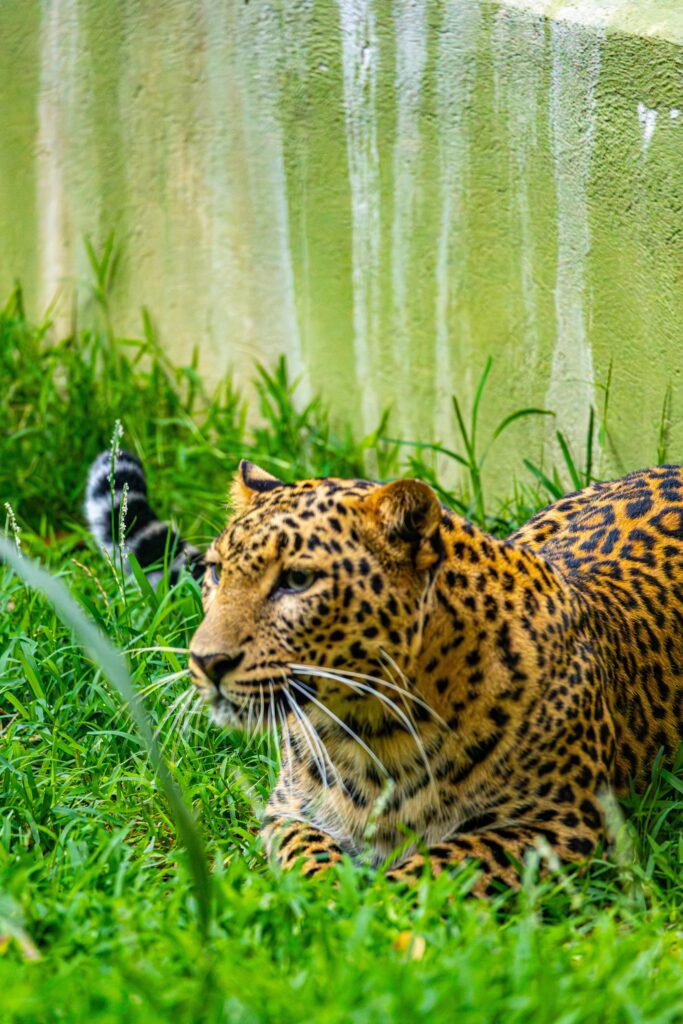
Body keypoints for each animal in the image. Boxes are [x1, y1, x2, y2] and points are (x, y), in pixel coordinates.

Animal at [86, 453, 683, 895]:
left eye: (297, 581)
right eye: (215, 573)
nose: (206, 662)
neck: (369, 729)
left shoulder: (566, 824)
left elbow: (449, 861)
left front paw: (374, 906)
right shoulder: (287, 811)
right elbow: (307, 850)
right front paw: (328, 894)